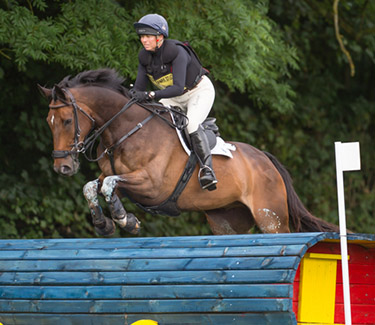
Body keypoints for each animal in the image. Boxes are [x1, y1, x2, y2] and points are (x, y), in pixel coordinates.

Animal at [38, 67, 338, 235]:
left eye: (67, 121)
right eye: (48, 122)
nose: (62, 167)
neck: (125, 129)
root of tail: (266, 160)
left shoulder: (152, 185)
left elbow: (110, 184)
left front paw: (126, 220)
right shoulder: (119, 180)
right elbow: (93, 186)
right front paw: (107, 224)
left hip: (270, 216)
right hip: (226, 221)